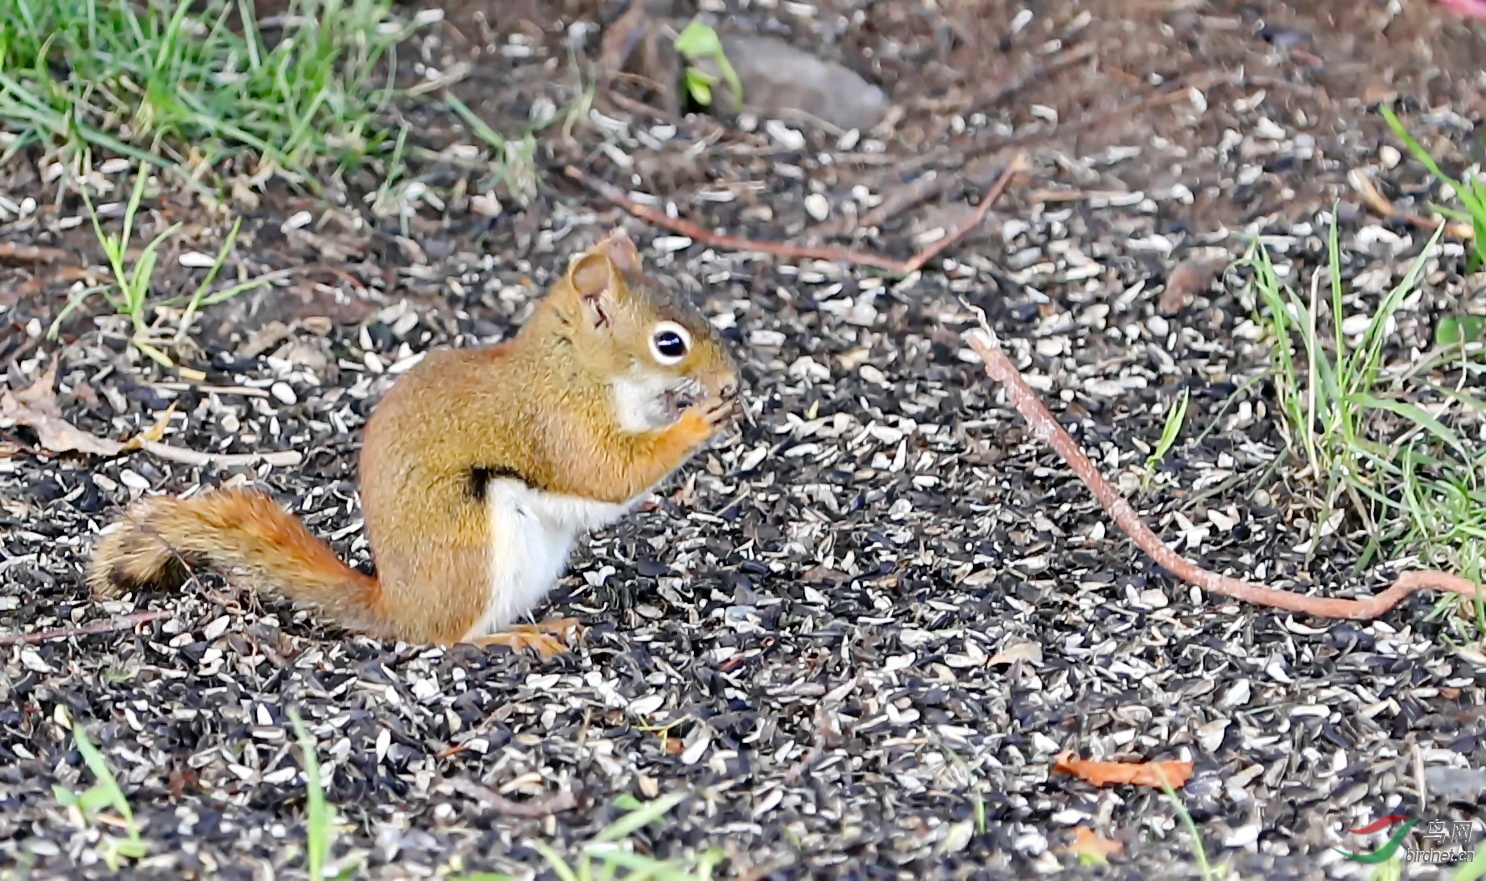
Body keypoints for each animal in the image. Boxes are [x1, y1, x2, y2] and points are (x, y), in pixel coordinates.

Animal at [89, 230, 740, 656]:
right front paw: (697, 422)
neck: (578, 365)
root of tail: (396, 606)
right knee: (450, 639)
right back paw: (515, 636)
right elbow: (607, 472)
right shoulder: (558, 421)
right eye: (670, 343)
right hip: (476, 551)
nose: (731, 381)